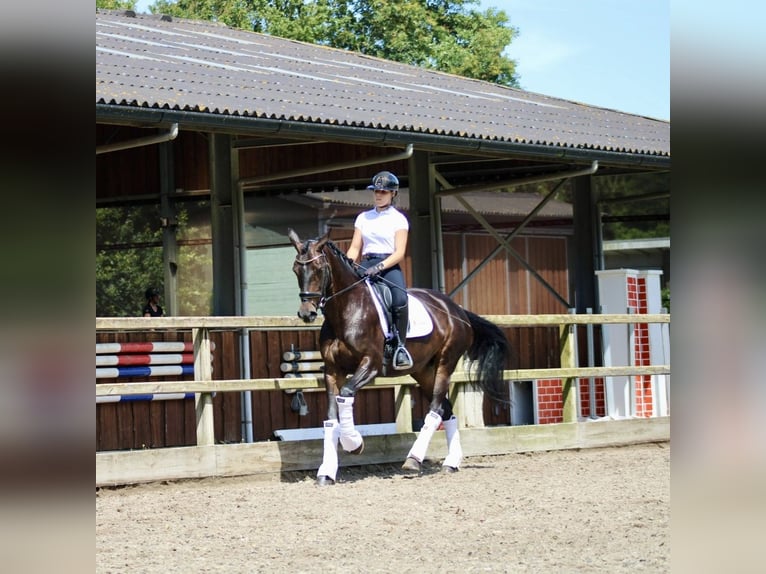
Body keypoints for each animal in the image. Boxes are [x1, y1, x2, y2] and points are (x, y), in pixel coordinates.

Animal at [288, 230, 510, 486]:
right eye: (296, 269)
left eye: (319, 269)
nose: (306, 313)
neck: (347, 310)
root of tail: (457, 310)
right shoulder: (333, 370)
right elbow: (331, 419)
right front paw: (327, 472)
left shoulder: (371, 364)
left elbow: (346, 395)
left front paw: (354, 443)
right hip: (423, 371)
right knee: (446, 409)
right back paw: (451, 462)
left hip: (445, 363)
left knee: (435, 408)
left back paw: (413, 460)